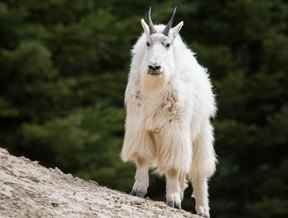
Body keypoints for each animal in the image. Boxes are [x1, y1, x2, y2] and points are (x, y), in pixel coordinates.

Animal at [120, 7, 217, 218]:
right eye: (148, 43)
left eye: (167, 44)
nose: (154, 67)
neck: (155, 88)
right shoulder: (140, 126)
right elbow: (142, 158)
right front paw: (138, 190)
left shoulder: (175, 130)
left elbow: (173, 167)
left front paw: (173, 200)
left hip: (200, 133)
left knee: (198, 171)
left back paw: (202, 208)